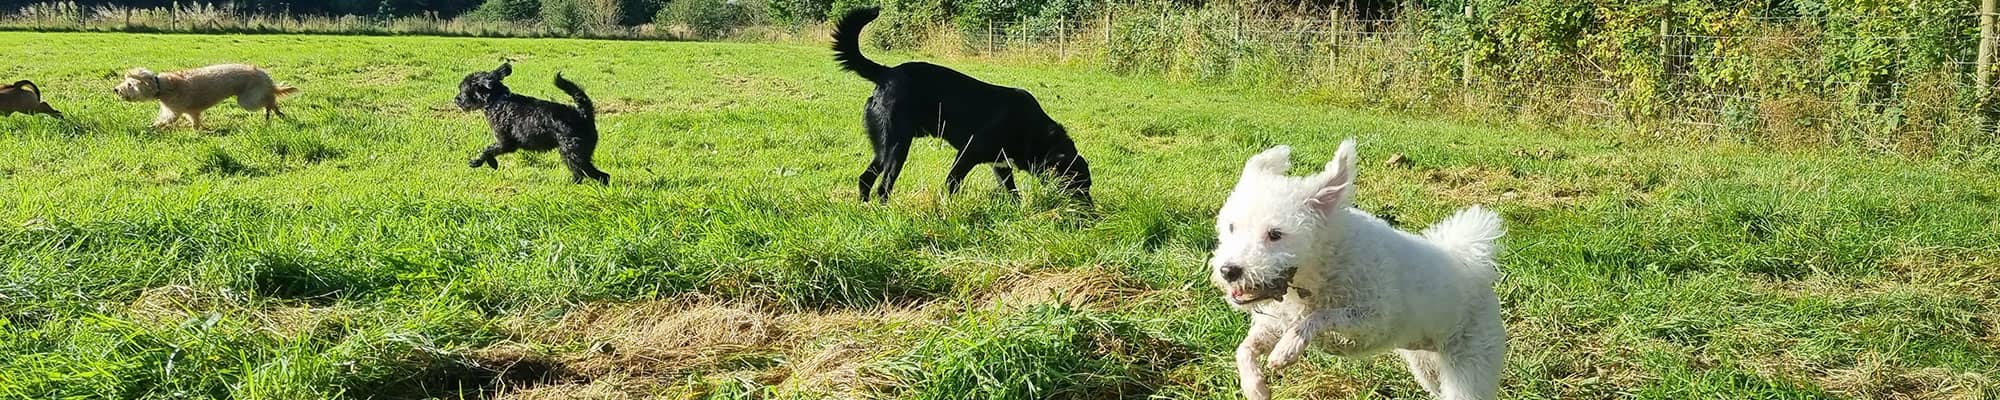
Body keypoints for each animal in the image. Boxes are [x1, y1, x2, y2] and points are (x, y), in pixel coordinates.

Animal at [114, 64, 300, 129]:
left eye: (129, 84)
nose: (115, 89)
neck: (162, 86)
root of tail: (265, 76)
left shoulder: (174, 113)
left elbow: (163, 122)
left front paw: (149, 128)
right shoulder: (190, 112)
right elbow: (195, 123)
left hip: (247, 100)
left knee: (269, 100)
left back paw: (273, 112)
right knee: (271, 102)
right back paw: (273, 115)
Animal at [454, 63, 608, 186]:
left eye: (463, 90)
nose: (455, 99)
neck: (498, 101)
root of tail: (583, 114)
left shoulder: (506, 143)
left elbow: (488, 150)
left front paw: (480, 162)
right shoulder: (506, 144)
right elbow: (490, 150)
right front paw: (492, 163)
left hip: (573, 152)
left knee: (601, 175)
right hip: (574, 154)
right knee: (580, 174)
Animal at [828, 7, 1096, 203]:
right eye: (1077, 185)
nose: (1091, 214)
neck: (1034, 130)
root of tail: (886, 73)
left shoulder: (1001, 166)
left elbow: (1012, 193)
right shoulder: (968, 152)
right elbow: (952, 182)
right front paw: (951, 207)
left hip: (883, 148)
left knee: (866, 178)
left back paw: (865, 207)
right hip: (897, 147)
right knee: (883, 186)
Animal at [1208, 138, 1504, 400]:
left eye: (1275, 234)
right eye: (1232, 227)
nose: (1228, 270)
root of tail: (1472, 262)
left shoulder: (1372, 320)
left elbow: (1318, 317)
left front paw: (1288, 349)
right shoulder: (1276, 321)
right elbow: (1245, 349)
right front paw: (1255, 387)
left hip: (1470, 364)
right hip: (1427, 366)